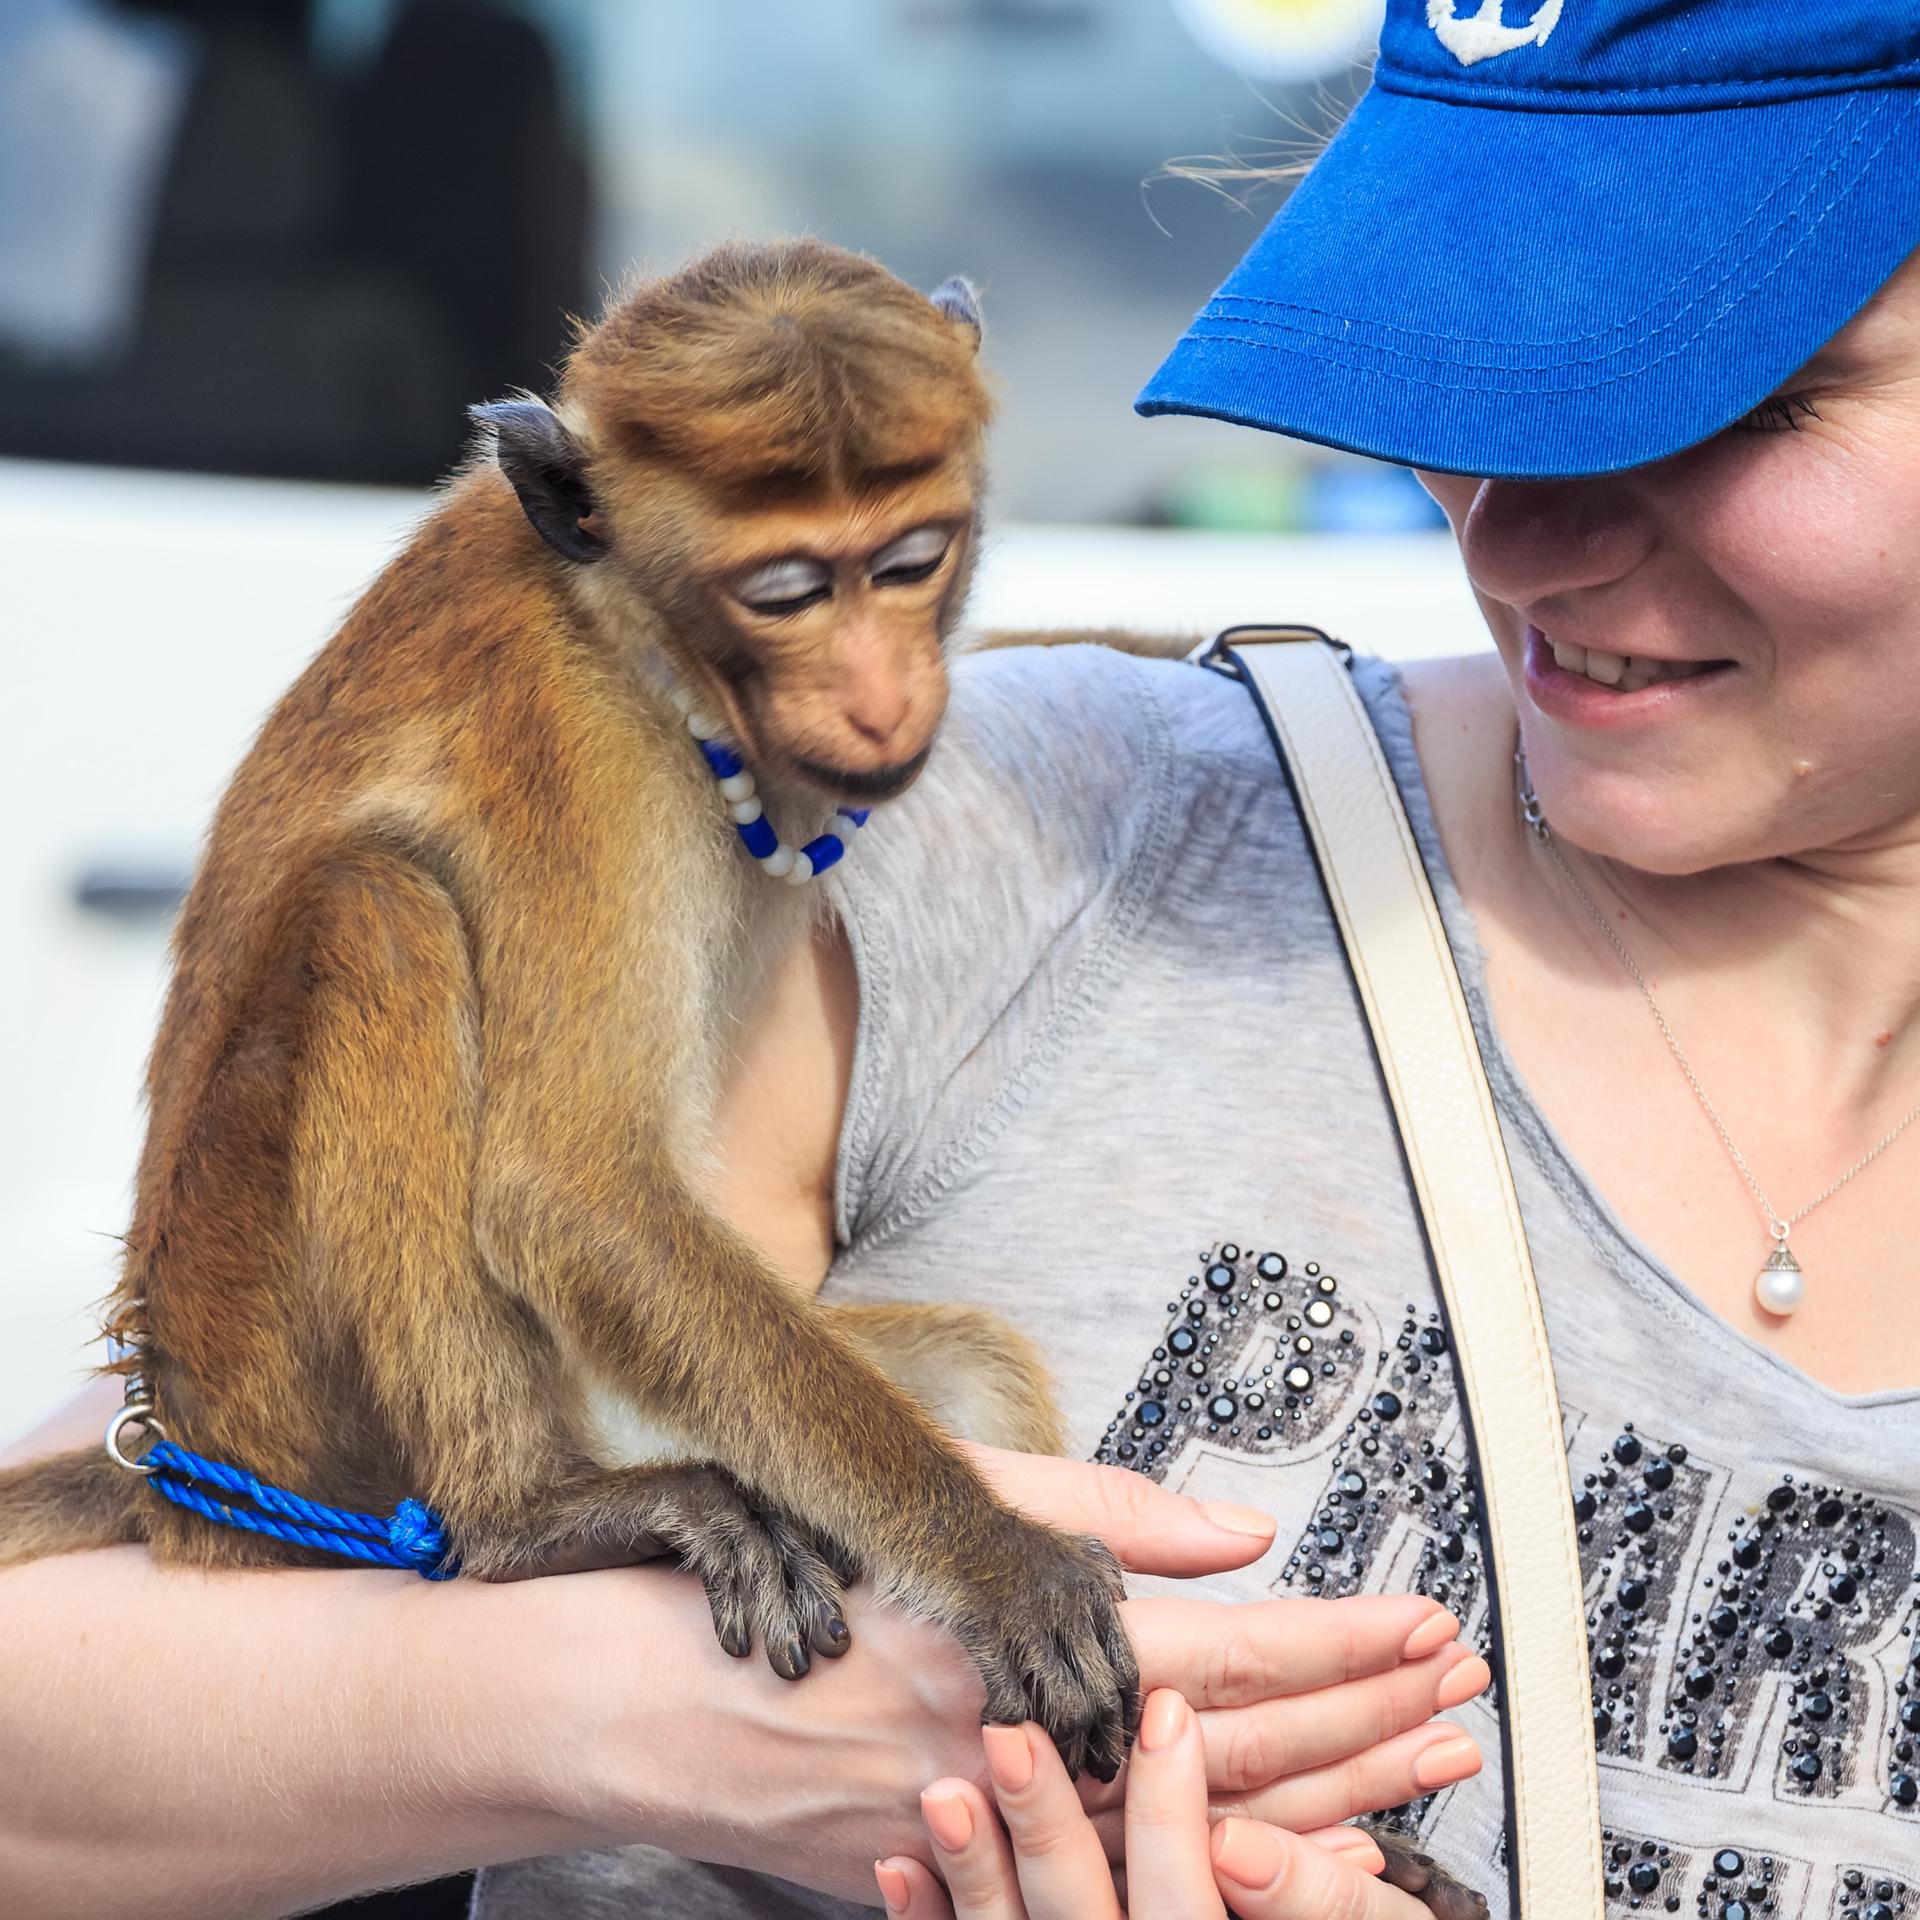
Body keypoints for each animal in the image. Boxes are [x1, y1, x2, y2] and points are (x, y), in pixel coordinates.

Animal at [0, 238, 1138, 1784]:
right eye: (787, 591)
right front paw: (1002, 1560)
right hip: (276, 1380)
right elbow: (574, 1195)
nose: (881, 691)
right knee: (377, 914)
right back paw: (521, 1519)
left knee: (956, 1360)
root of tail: (179, 1460)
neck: (644, 644)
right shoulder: (575, 751)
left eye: (913, 561)